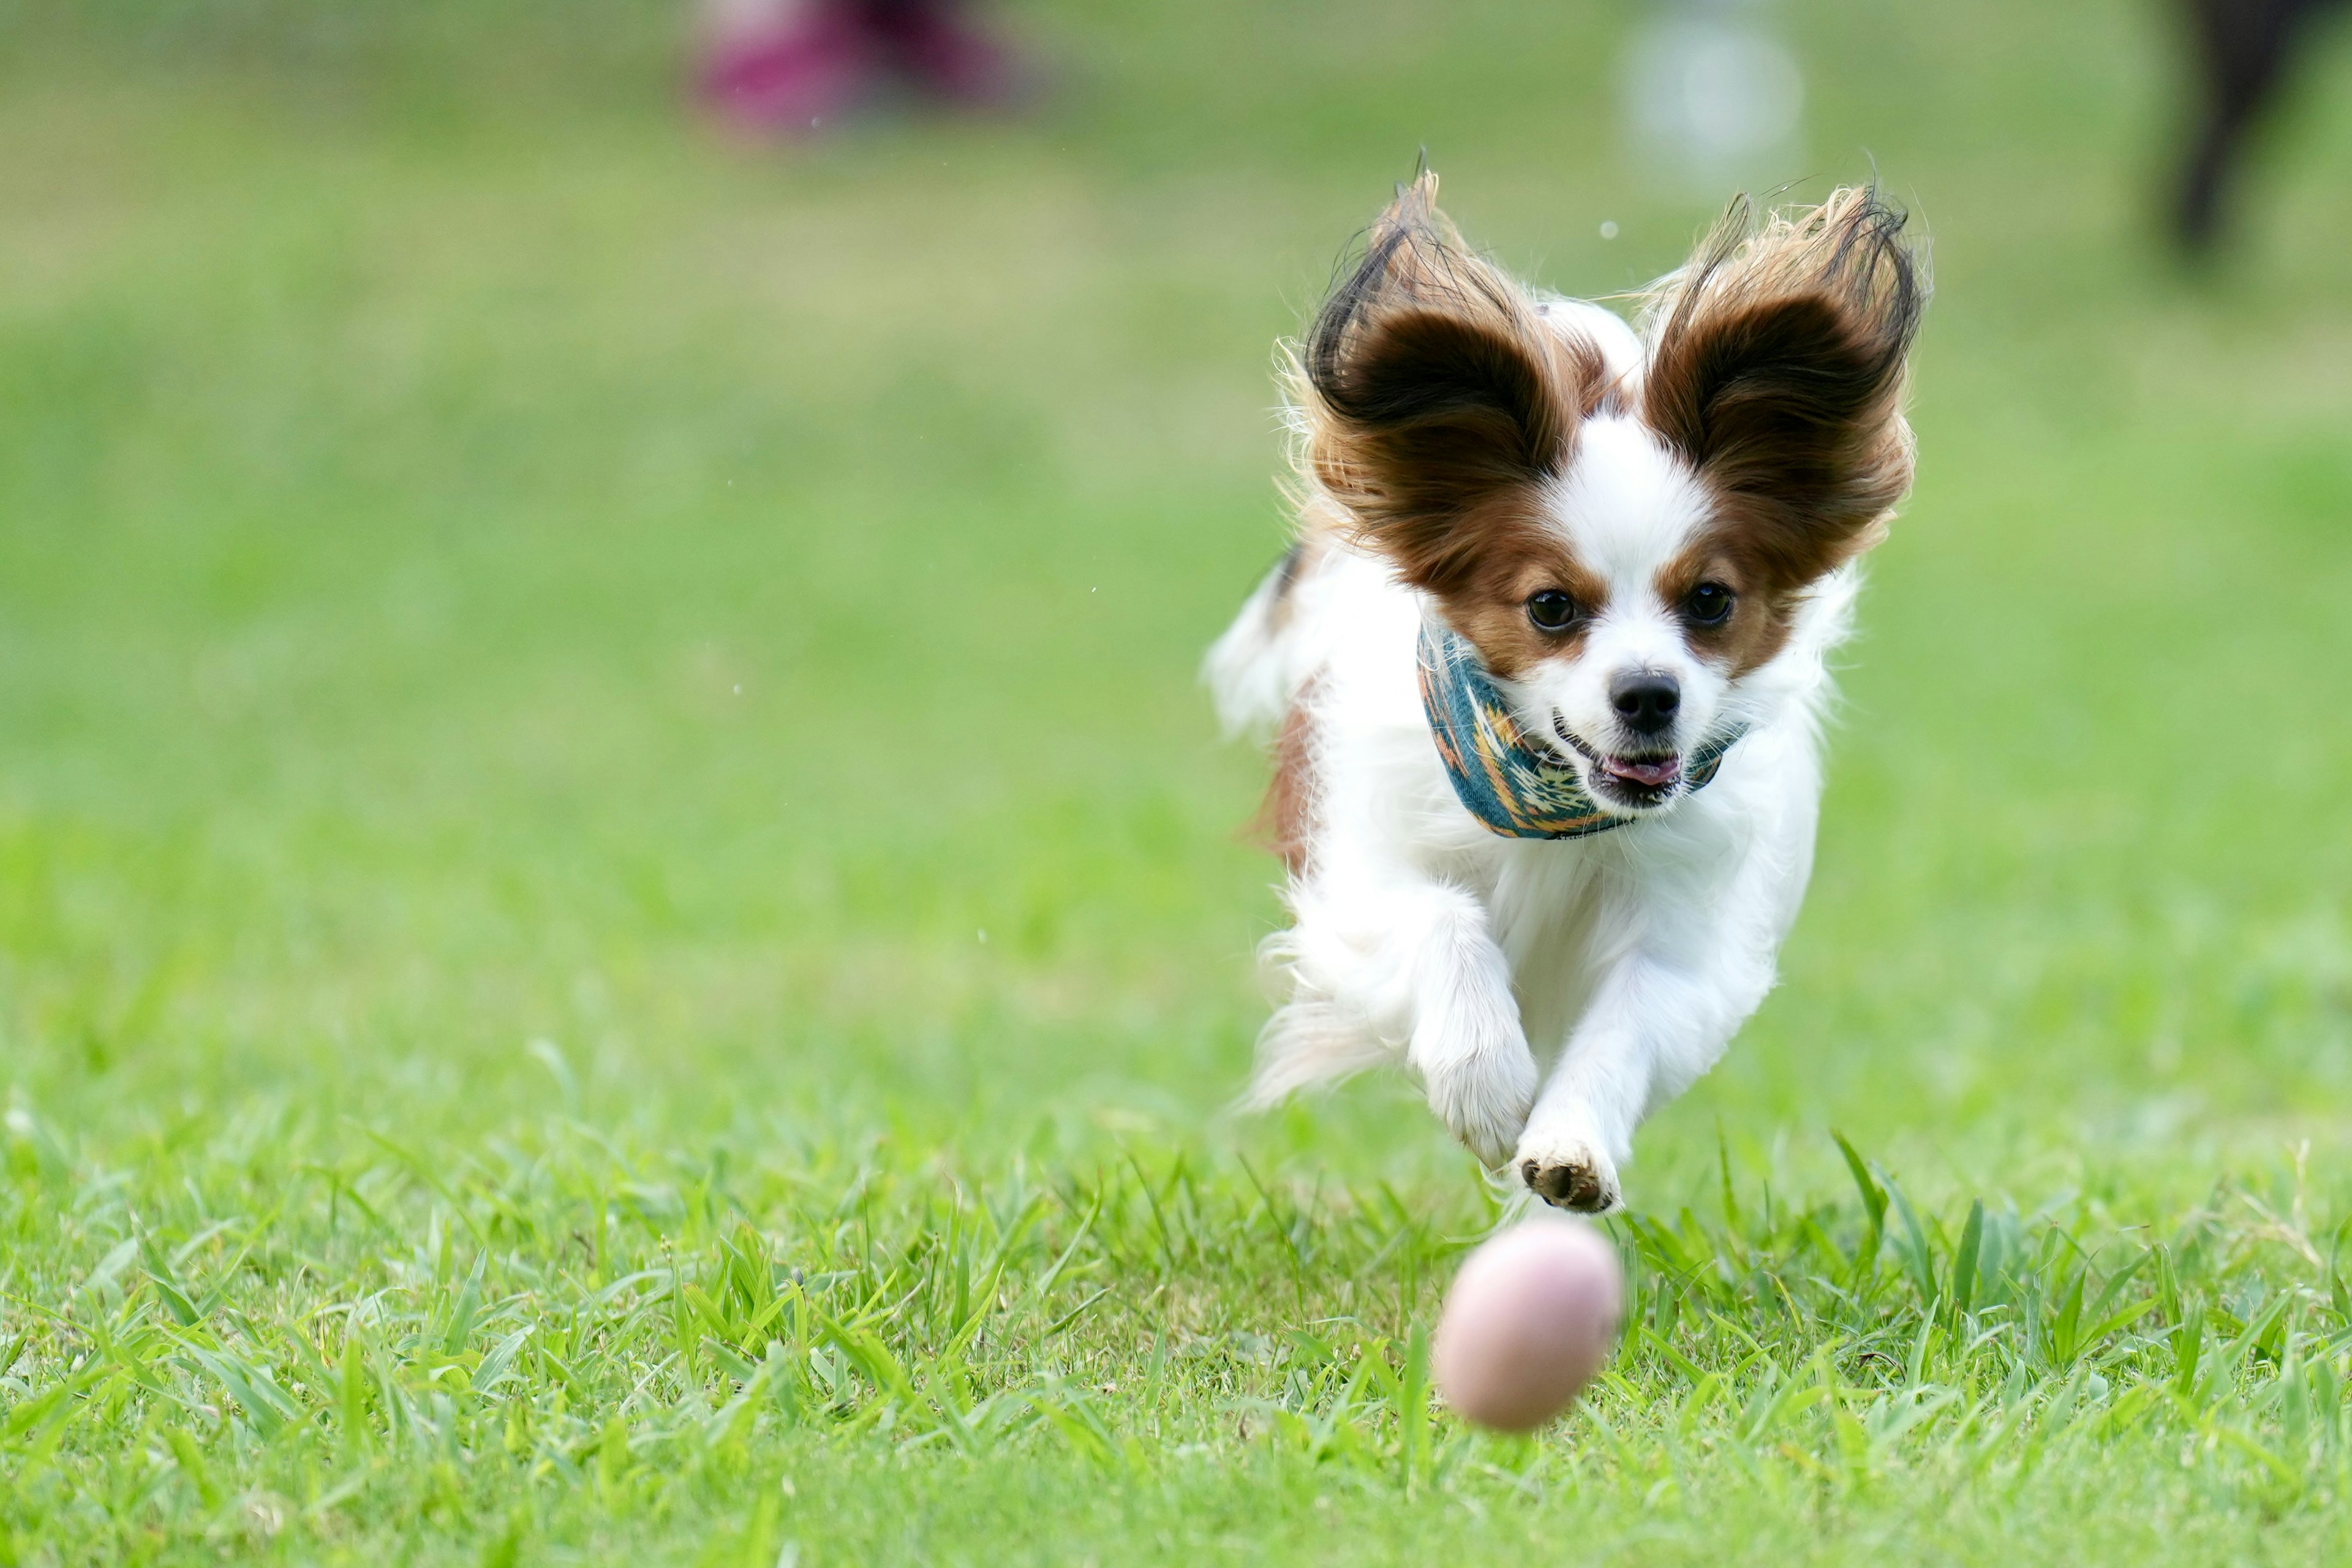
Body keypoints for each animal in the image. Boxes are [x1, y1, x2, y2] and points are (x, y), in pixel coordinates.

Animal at [1213, 175, 1928, 1213]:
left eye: (1710, 601)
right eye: (1551, 607)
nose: (1649, 695)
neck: (1556, 806)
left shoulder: (1684, 938)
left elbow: (1626, 1025)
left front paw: (1567, 1143)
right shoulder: (1361, 876)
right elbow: (1442, 920)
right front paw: (1484, 1082)